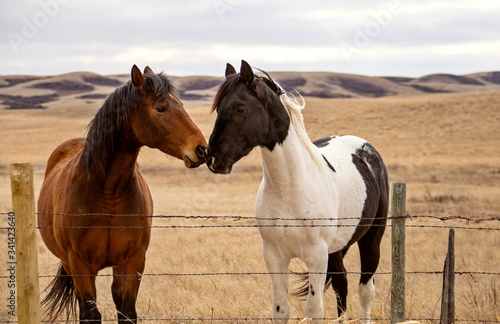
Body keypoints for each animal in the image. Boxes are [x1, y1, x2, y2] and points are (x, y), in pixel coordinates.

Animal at [38, 64, 208, 322]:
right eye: (161, 108)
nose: (202, 149)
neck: (108, 190)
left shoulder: (133, 261)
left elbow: (127, 311)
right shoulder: (79, 264)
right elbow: (90, 313)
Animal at [205, 60, 388, 322]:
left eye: (240, 108)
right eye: (219, 108)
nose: (213, 159)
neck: (288, 188)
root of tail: (366, 149)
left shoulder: (317, 256)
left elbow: (314, 310)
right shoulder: (274, 256)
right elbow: (281, 309)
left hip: (372, 238)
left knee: (366, 291)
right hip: (336, 249)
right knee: (341, 285)